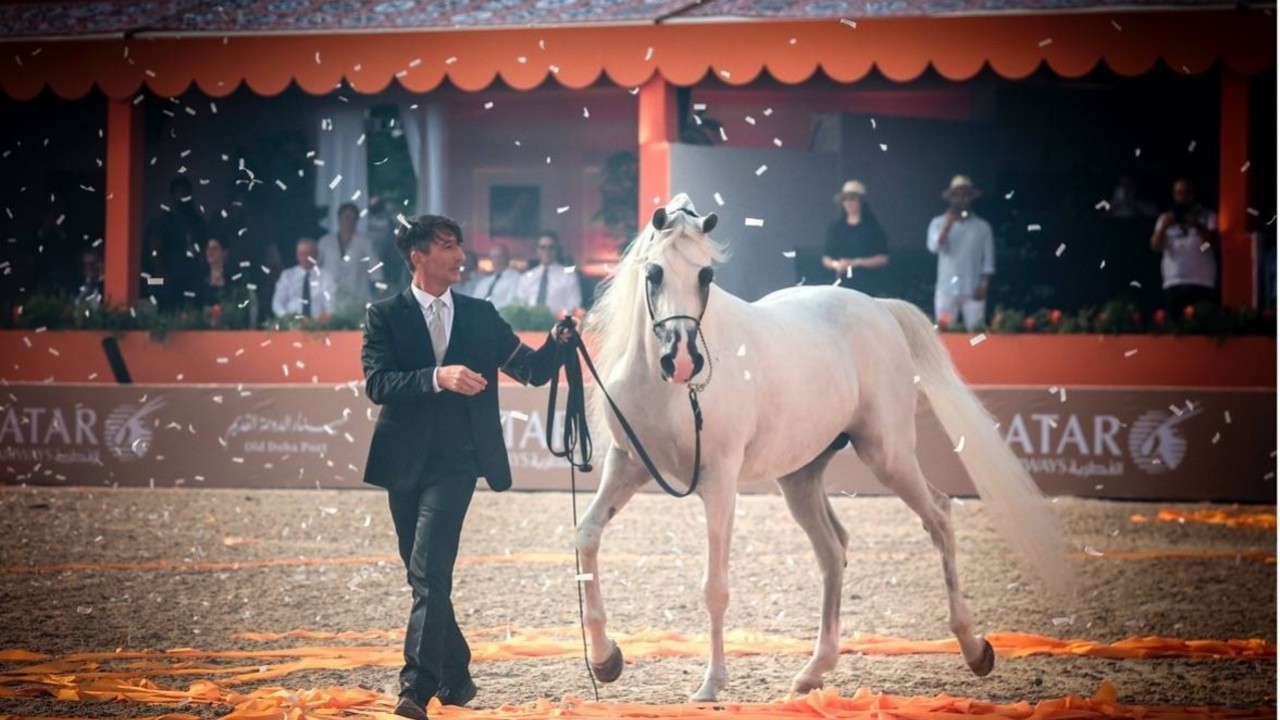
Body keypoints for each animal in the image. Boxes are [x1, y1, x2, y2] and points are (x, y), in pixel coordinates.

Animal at [576, 193, 1075, 696]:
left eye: (706, 276)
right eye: (654, 272)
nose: (682, 360)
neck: (669, 394)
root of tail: (879, 308)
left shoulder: (718, 482)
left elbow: (715, 587)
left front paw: (712, 685)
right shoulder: (627, 465)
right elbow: (587, 536)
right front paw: (605, 659)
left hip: (888, 455)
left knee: (938, 516)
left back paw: (974, 649)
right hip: (800, 478)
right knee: (834, 550)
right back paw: (815, 669)